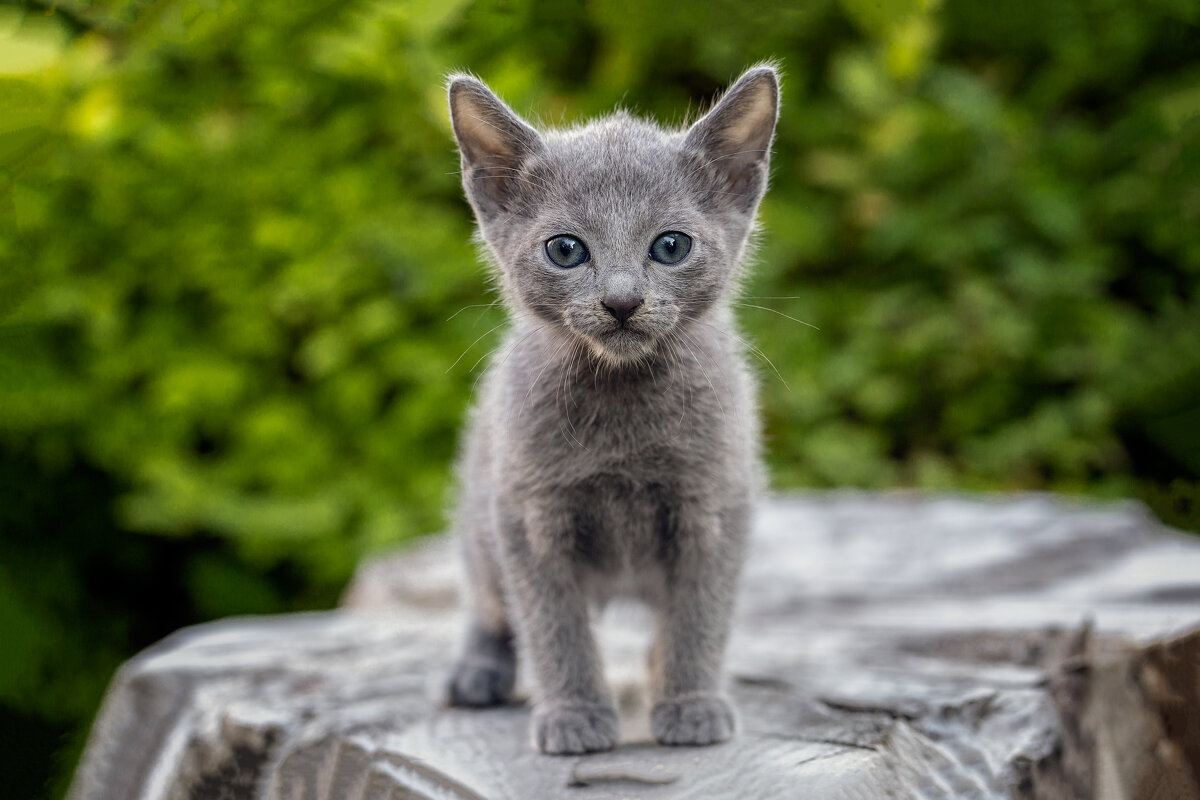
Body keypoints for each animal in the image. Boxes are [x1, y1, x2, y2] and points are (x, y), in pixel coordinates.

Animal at [441, 64, 777, 758]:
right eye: (566, 250)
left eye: (671, 246)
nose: (622, 301)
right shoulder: (527, 515)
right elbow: (553, 625)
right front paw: (574, 713)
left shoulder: (717, 505)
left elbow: (700, 614)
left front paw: (690, 702)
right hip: (480, 512)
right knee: (487, 599)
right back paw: (477, 671)